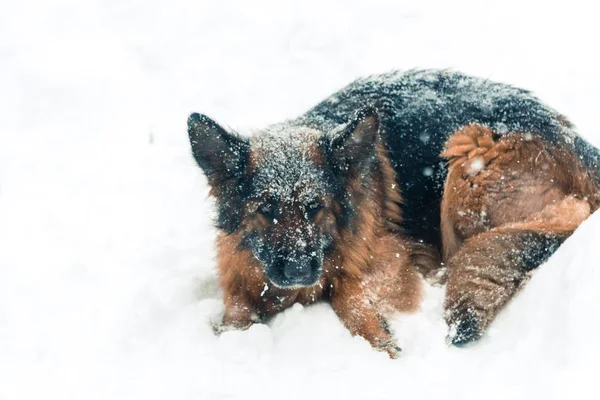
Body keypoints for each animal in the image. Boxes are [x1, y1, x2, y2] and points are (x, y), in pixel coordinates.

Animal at [189, 69, 600, 356]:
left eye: (314, 208)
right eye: (266, 210)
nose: (298, 270)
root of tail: (578, 145)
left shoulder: (389, 254)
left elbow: (348, 293)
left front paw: (380, 343)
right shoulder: (238, 271)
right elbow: (235, 310)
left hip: (468, 149)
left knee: (564, 217)